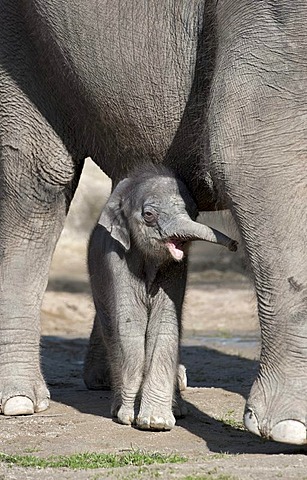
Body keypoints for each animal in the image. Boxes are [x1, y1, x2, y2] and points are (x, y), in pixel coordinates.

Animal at [85, 166, 238, 432]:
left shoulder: (177, 269)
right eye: (148, 215)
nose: (234, 244)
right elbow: (131, 325)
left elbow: (165, 324)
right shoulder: (117, 260)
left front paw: (155, 423)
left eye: (194, 212)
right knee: (112, 333)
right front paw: (127, 415)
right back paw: (118, 407)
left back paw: (176, 409)